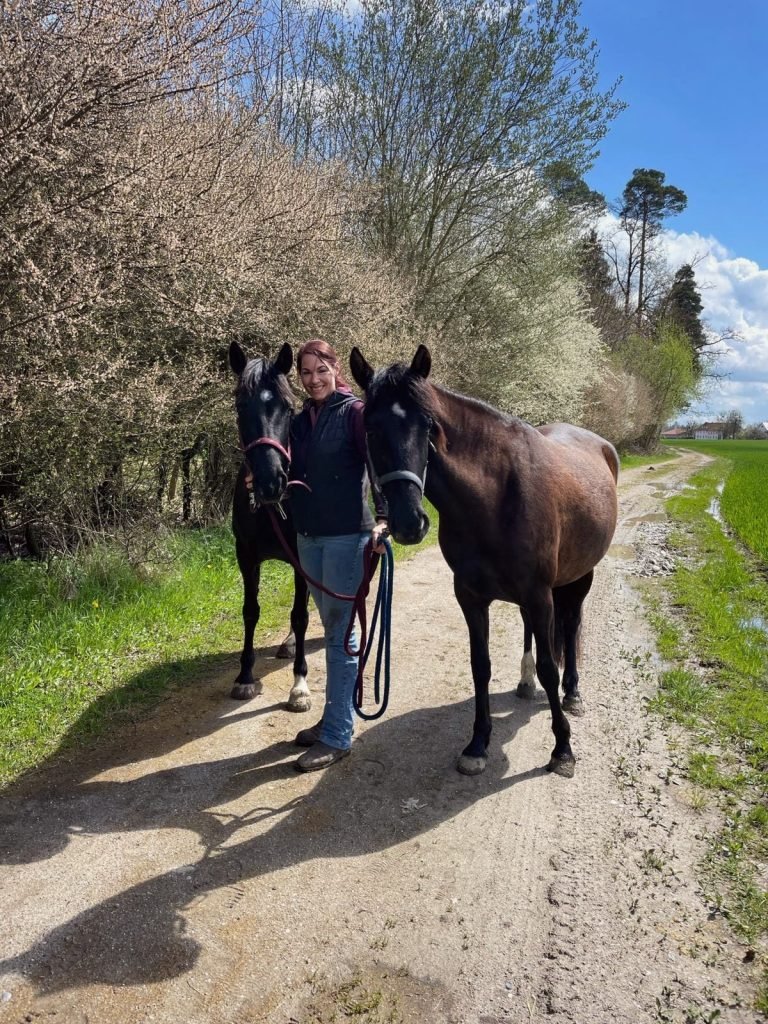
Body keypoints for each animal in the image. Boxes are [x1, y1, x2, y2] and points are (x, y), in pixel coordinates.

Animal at [350, 345, 619, 778]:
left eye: (428, 427)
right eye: (370, 430)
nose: (408, 522)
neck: (496, 498)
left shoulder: (538, 593)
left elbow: (550, 665)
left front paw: (562, 749)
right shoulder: (471, 596)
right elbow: (481, 666)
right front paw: (477, 744)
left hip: (579, 577)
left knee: (572, 624)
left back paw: (573, 692)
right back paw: (526, 684)